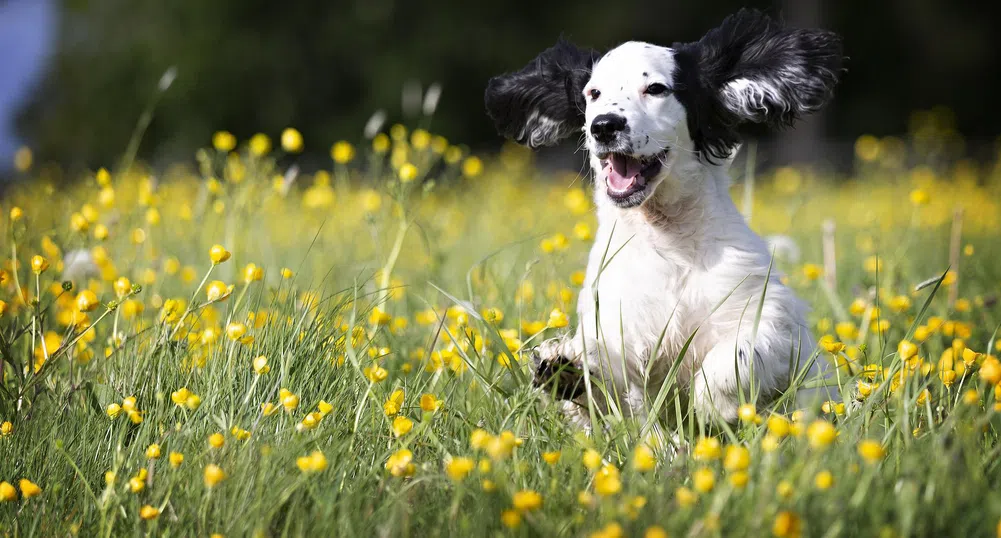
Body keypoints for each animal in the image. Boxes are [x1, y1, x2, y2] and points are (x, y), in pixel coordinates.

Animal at [484, 9, 844, 428]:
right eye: (593, 93)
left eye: (656, 89)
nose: (604, 125)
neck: (667, 240)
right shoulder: (617, 325)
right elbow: (606, 380)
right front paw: (565, 369)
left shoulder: (770, 317)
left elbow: (737, 353)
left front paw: (714, 403)